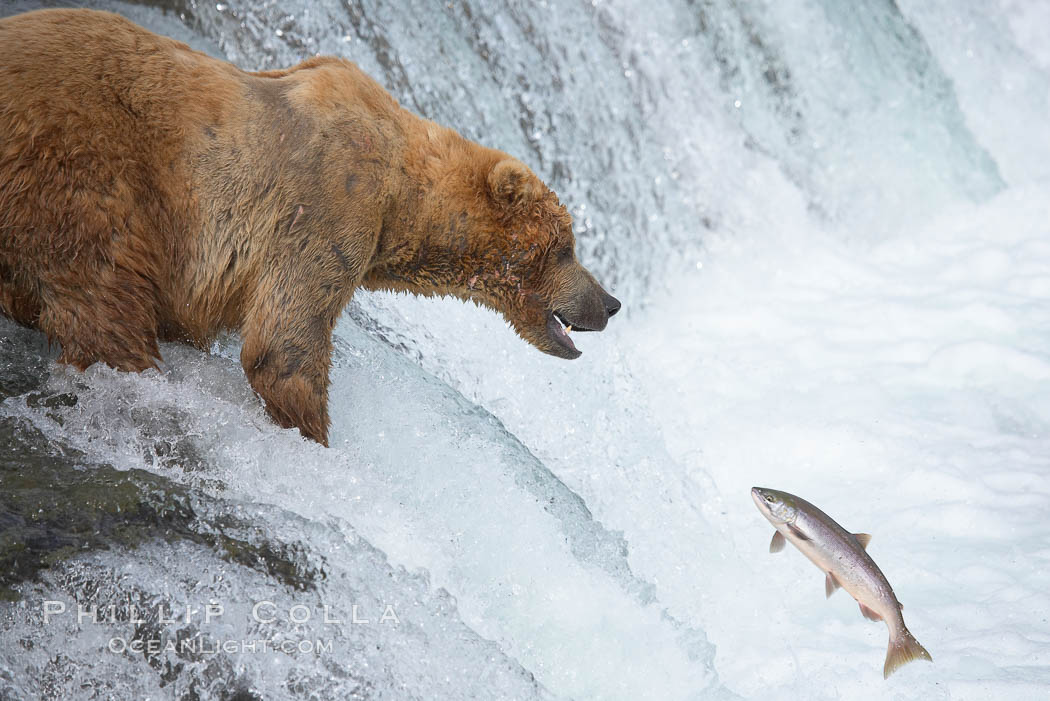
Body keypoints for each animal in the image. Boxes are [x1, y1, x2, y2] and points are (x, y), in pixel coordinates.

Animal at [0, 9, 617, 442]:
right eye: (566, 246)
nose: (609, 303)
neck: (402, 200)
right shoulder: (326, 205)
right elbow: (284, 346)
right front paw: (315, 439)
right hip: (84, 170)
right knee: (105, 293)